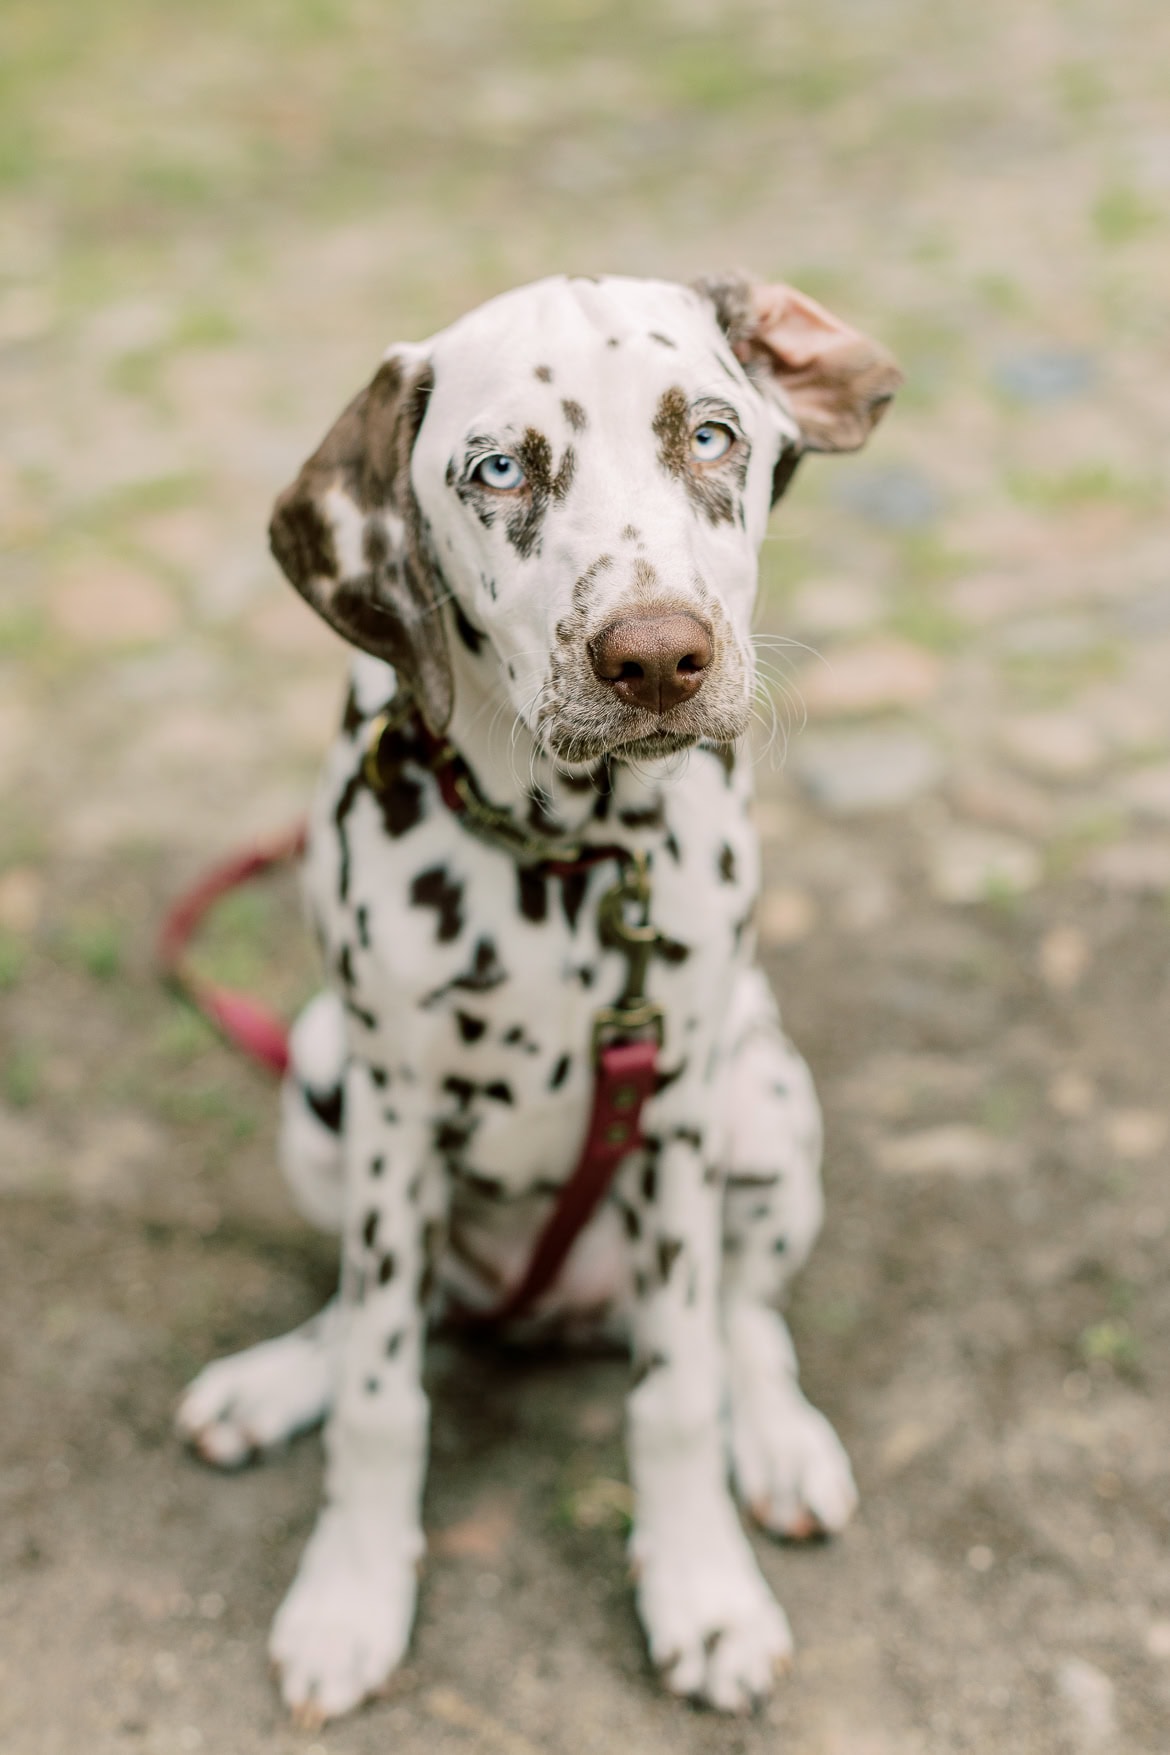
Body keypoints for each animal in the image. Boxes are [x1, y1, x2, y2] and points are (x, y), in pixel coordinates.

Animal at [176, 266, 905, 1719]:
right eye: (499, 468)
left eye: (710, 435)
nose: (656, 657)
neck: (569, 855)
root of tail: (553, 1304)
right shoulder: (395, 1114)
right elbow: (383, 1396)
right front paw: (350, 1594)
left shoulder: (674, 1114)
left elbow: (676, 1390)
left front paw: (704, 1594)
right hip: (321, 1086)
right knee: (381, 1312)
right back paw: (281, 1375)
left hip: (765, 1102)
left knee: (746, 1315)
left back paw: (779, 1440)